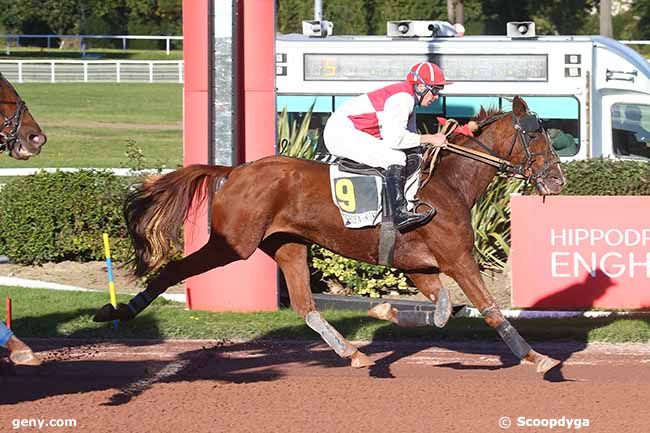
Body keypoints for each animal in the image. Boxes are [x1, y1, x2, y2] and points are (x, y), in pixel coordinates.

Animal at [93, 95, 564, 374]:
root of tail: (234, 170)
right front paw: (537, 357)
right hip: (234, 244)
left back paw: (351, 352)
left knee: (305, 306)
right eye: (538, 134)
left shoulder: (420, 267)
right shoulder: (457, 258)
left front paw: (387, 312)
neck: (448, 184)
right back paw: (118, 310)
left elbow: (446, 308)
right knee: (173, 271)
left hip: (287, 246)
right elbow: (488, 309)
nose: (557, 181)